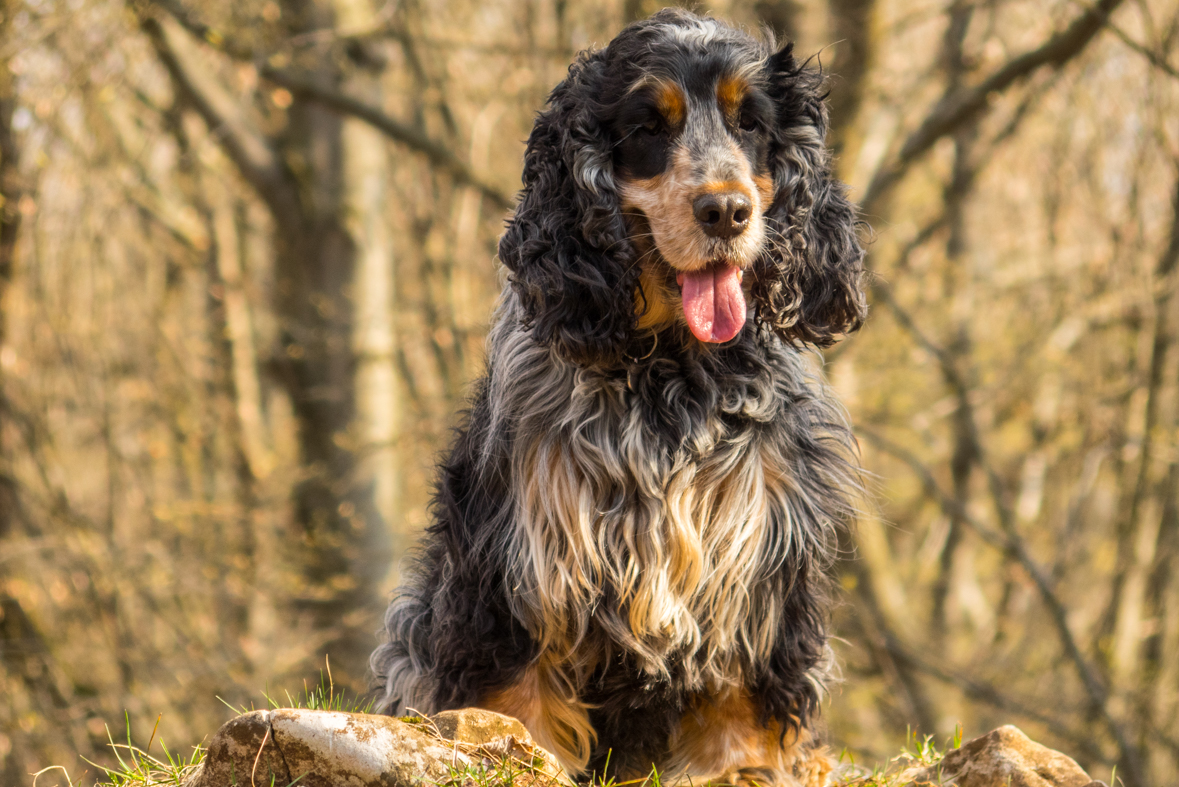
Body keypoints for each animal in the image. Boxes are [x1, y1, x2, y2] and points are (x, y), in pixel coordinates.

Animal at [367, 7, 867, 787]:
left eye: (750, 122)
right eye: (647, 127)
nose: (726, 211)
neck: (668, 370)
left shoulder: (759, 539)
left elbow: (742, 680)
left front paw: (739, 766)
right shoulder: (526, 556)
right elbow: (518, 683)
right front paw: (515, 750)